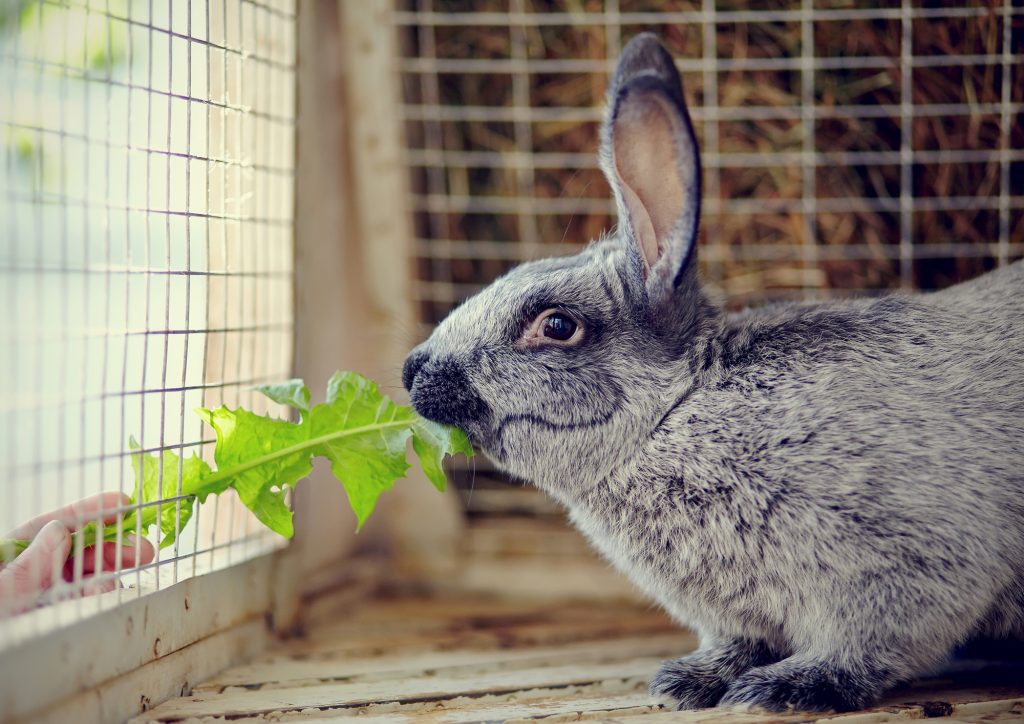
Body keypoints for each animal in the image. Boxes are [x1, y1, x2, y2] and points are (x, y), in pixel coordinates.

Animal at [401, 34, 1024, 712]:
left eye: (557, 325)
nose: (413, 372)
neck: (674, 412)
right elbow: (738, 642)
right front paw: (690, 679)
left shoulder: (906, 570)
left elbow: (865, 649)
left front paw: (786, 688)